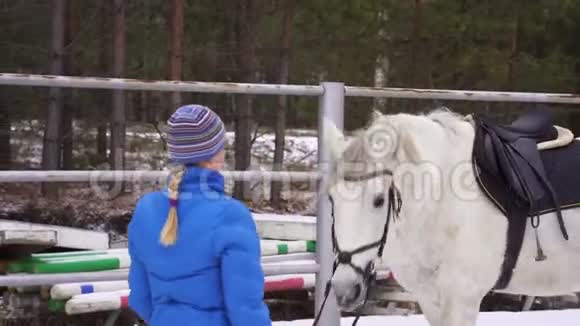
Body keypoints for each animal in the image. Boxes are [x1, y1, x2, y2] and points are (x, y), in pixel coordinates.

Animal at [322, 109, 580, 326]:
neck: (444, 201)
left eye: (378, 200)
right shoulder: (430, 299)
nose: (344, 288)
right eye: (331, 199)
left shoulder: (462, 298)